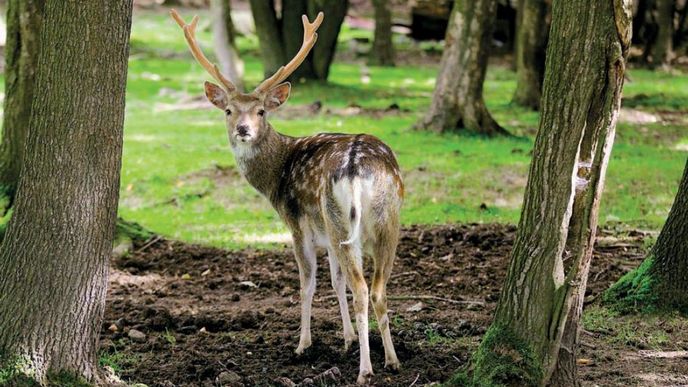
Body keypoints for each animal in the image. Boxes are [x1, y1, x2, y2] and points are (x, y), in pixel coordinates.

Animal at [172, 9, 406, 384]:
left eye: (261, 111)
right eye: (228, 111)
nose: (243, 130)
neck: (275, 177)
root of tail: (357, 165)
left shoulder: (298, 224)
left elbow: (307, 284)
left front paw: (303, 345)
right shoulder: (326, 236)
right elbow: (336, 282)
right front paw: (346, 339)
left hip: (341, 220)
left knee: (362, 289)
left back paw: (365, 370)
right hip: (386, 220)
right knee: (378, 288)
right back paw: (392, 360)